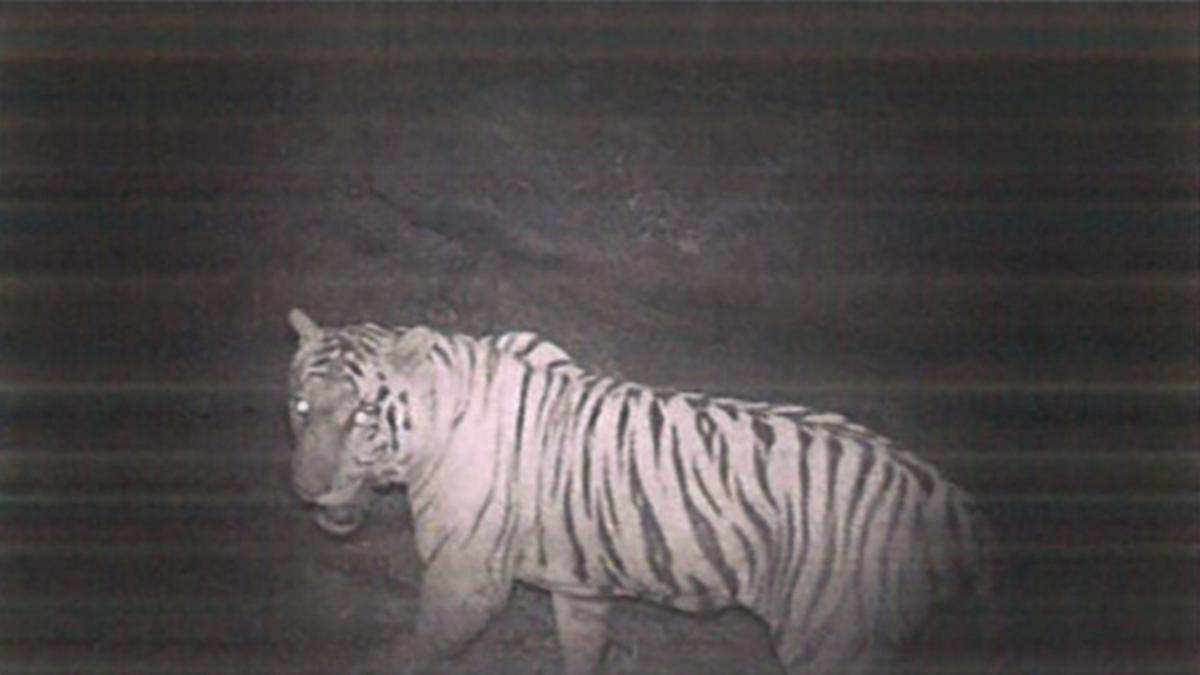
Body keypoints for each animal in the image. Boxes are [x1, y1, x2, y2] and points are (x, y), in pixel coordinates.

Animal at [286, 308, 993, 675]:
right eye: (300, 407)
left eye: (361, 415)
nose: (307, 491)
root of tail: (942, 496)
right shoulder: (578, 586)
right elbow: (584, 649)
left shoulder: (467, 579)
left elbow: (411, 650)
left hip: (829, 641)